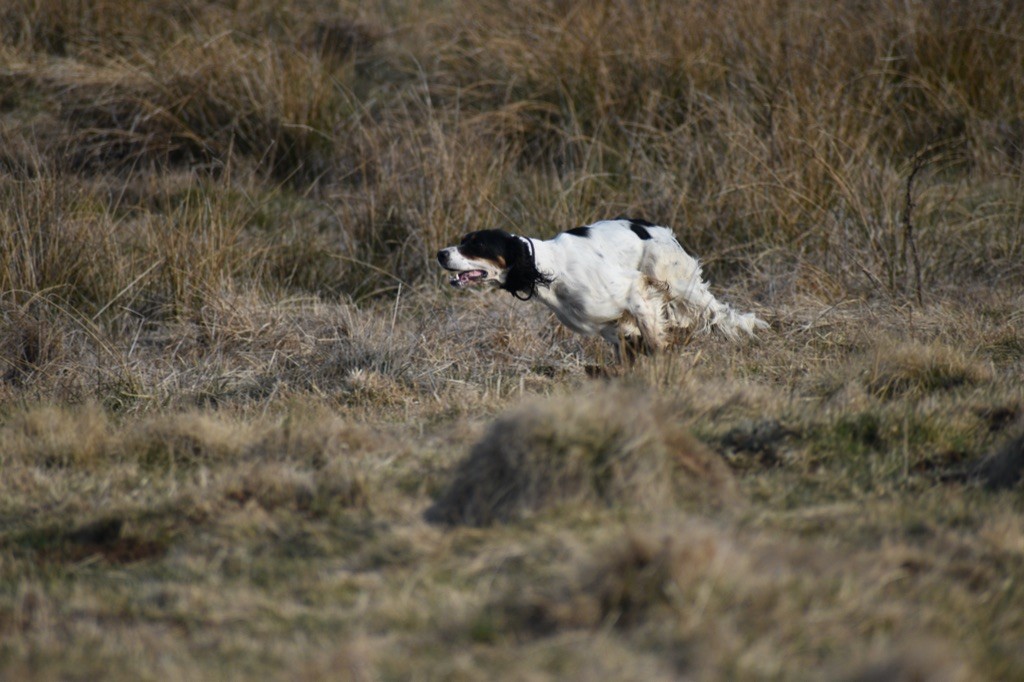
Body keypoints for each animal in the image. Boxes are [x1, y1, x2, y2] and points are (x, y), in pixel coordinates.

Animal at [436, 218, 765, 356]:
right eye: (462, 241)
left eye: (475, 244)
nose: (441, 253)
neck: (551, 270)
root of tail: (655, 227)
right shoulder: (613, 328)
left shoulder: (634, 293)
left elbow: (655, 342)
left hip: (677, 281)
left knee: (719, 312)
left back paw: (749, 329)